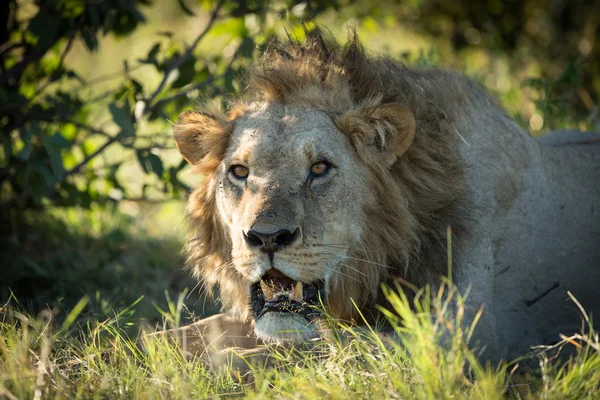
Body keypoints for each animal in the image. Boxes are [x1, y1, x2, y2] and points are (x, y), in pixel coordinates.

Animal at [168, 31, 600, 362]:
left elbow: (317, 350)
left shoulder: (466, 337)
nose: (267, 238)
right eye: (240, 172)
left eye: (320, 168)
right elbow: (189, 334)